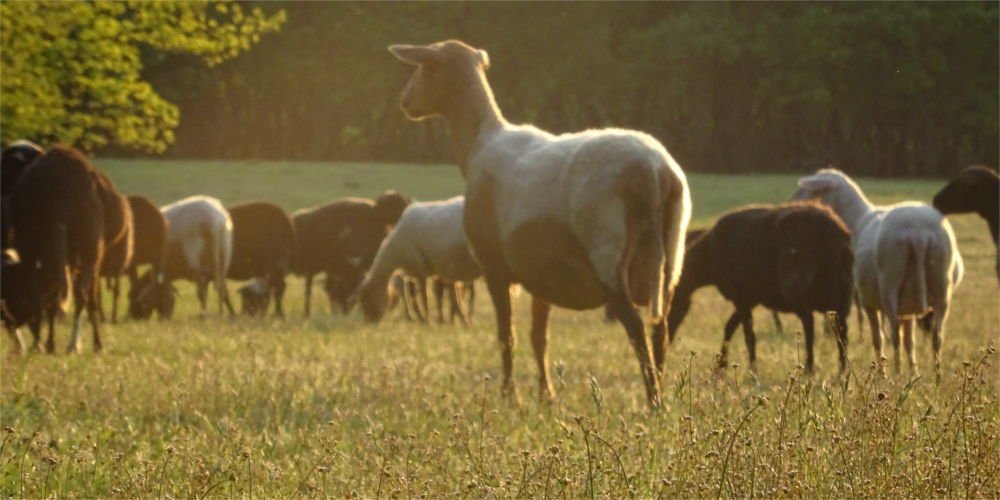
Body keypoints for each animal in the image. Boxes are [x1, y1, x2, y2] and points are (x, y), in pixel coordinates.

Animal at [2, 145, 115, 353]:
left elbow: (40, 294)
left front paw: (38, 342)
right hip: (90, 247)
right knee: (84, 293)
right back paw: (83, 345)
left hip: (50, 249)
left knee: (53, 293)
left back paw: (46, 343)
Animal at [354, 196, 483, 322]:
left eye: (365, 298)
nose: (369, 322)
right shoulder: (415, 272)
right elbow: (411, 295)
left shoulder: (421, 270)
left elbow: (423, 297)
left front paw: (427, 320)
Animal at [390, 40, 691, 406]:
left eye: (427, 67)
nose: (405, 101)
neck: (477, 143)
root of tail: (655, 172)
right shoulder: (541, 273)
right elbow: (539, 337)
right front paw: (546, 394)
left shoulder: (494, 266)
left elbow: (506, 335)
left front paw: (509, 394)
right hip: (671, 252)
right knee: (660, 329)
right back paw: (661, 391)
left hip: (608, 245)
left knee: (635, 327)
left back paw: (653, 401)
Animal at [667, 203, 855, 373]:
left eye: (670, 303)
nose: (667, 339)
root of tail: (837, 236)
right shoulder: (750, 298)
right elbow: (730, 327)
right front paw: (720, 368)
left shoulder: (741, 297)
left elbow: (748, 335)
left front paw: (752, 371)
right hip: (841, 292)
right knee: (841, 330)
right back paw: (842, 371)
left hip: (797, 285)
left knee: (809, 322)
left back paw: (809, 368)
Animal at [792, 168, 964, 377]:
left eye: (807, 190)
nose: (793, 203)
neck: (856, 218)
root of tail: (918, 233)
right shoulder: (908, 309)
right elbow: (910, 342)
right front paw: (914, 372)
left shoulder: (867, 301)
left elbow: (878, 338)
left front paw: (883, 372)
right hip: (941, 285)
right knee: (937, 336)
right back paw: (937, 374)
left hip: (890, 282)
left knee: (894, 333)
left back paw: (896, 373)